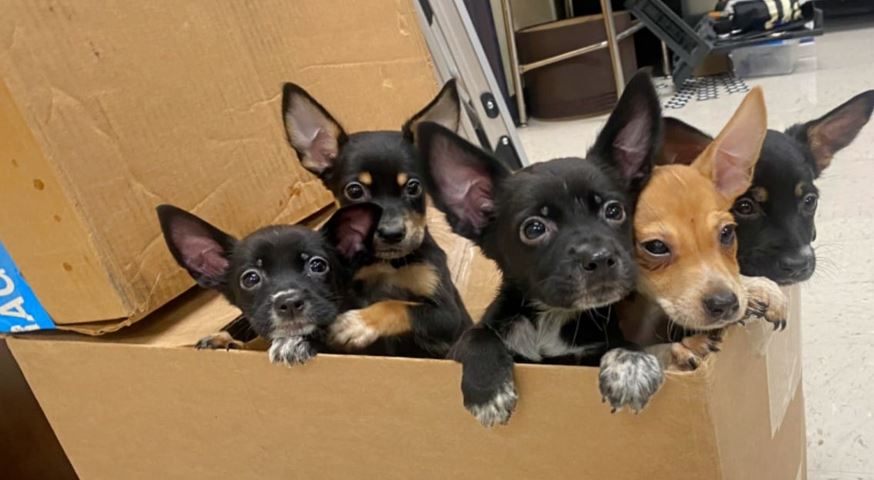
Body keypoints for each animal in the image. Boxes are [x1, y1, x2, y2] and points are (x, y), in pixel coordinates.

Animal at [280, 79, 470, 356]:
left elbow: (397, 305)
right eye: (354, 191)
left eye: (414, 186)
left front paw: (358, 323)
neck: (387, 264)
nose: (392, 233)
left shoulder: (447, 314)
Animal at [416, 69, 660, 426]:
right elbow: (477, 335)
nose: (600, 259)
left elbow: (620, 344)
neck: (551, 317)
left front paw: (631, 365)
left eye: (614, 211)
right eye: (534, 229)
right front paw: (488, 389)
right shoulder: (461, 345)